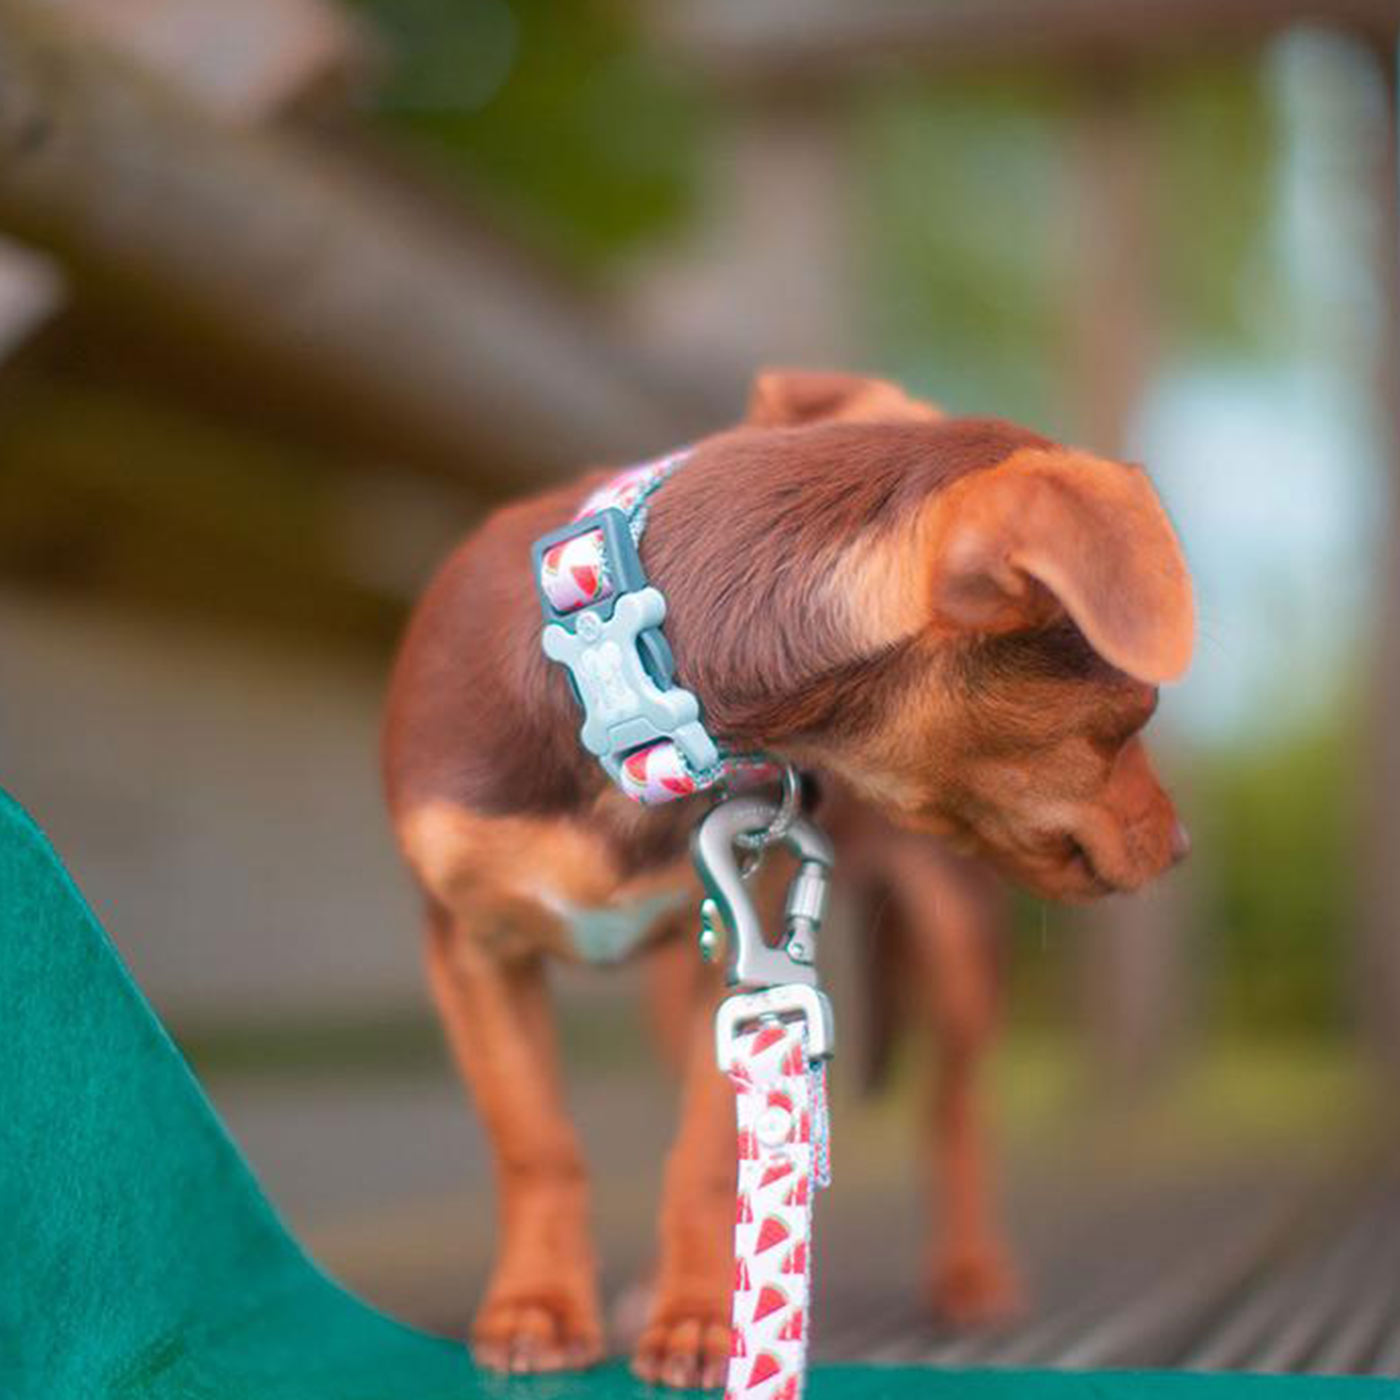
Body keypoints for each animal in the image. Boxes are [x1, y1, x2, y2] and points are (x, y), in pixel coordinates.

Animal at [380, 366, 1192, 1383]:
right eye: (1136, 714)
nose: (1181, 844)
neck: (622, 682)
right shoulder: (473, 946)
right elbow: (534, 1141)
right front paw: (540, 1304)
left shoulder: (742, 963)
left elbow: (702, 1153)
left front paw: (705, 1320)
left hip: (955, 938)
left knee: (955, 1109)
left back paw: (972, 1273)